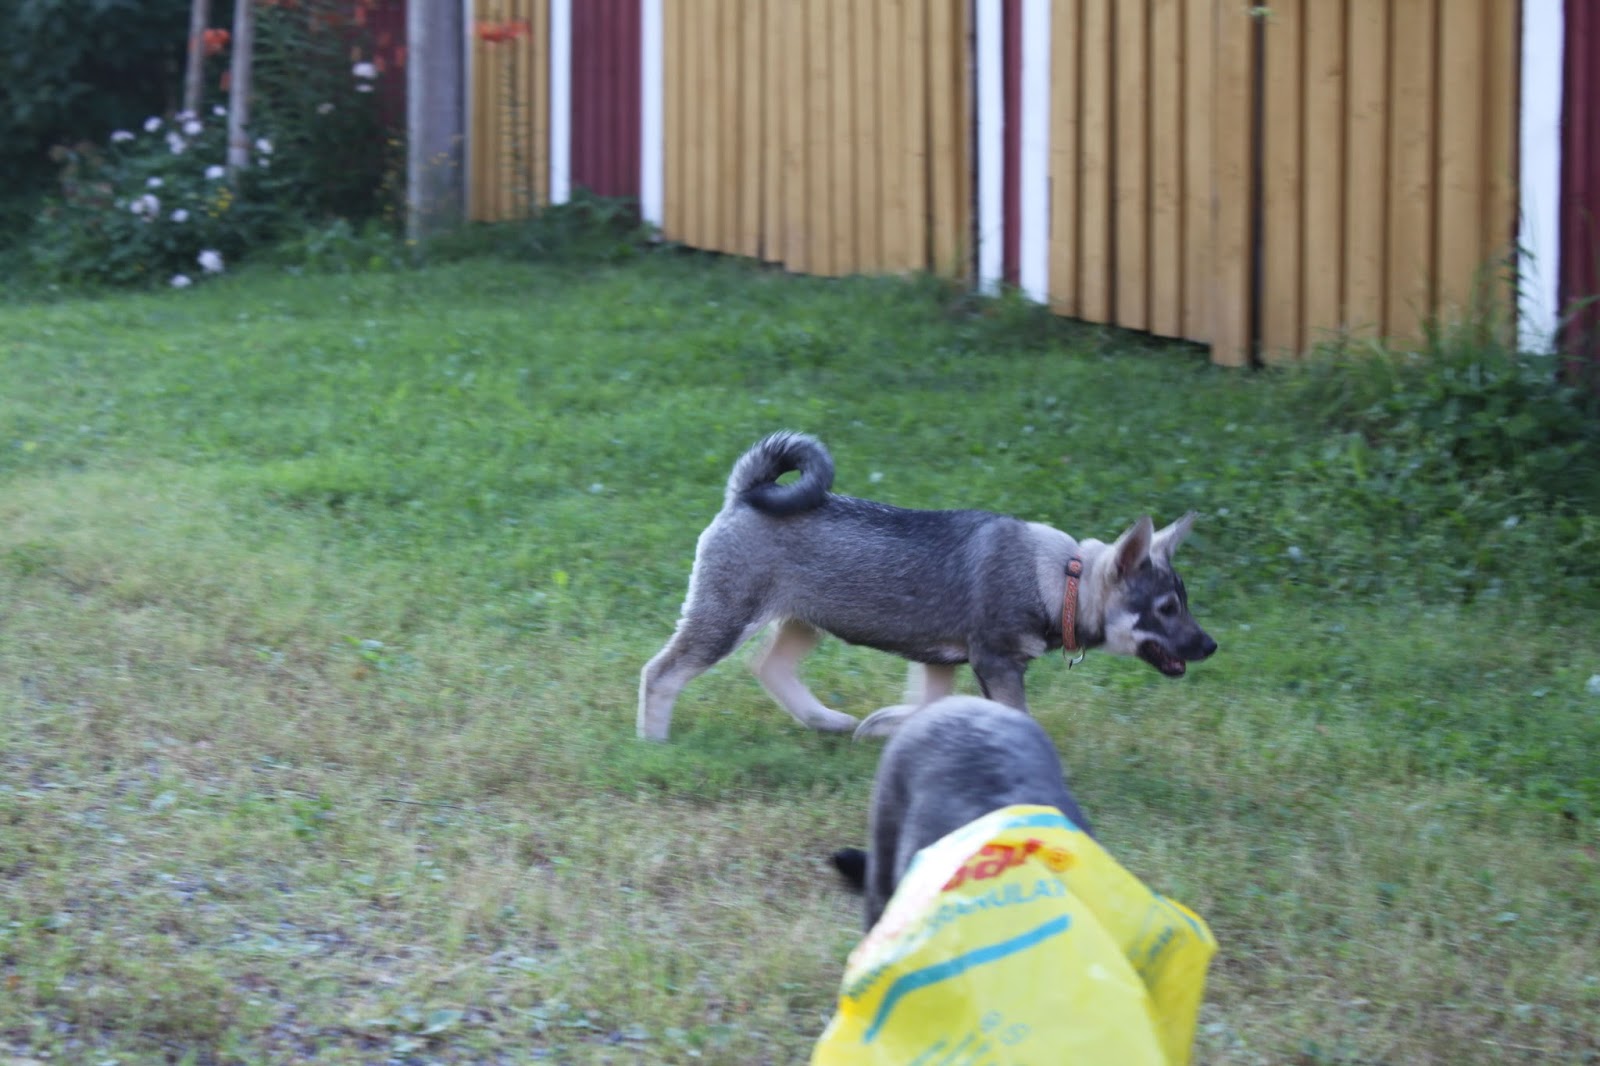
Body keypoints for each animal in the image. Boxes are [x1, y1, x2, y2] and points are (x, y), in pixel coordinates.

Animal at [636, 432, 1209, 739]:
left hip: (805, 621)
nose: (1211, 645)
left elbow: (927, 708)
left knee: (769, 668)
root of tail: (744, 495)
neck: (1059, 578)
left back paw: (826, 720)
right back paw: (654, 742)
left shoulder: (939, 664)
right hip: (725, 619)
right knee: (661, 674)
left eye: (1183, 603)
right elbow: (1016, 717)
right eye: (1165, 607)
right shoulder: (995, 663)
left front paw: (885, 724)